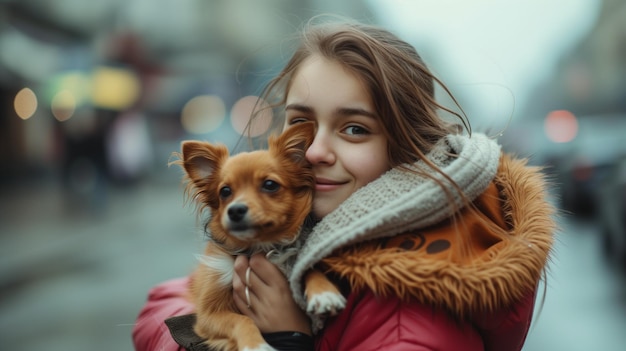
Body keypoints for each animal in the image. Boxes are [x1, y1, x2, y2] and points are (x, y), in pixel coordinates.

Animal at [172, 122, 342, 350]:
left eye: (270, 185)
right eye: (225, 191)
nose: (235, 210)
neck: (260, 245)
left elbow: (305, 268)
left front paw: (325, 292)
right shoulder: (208, 314)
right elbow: (241, 320)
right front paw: (255, 344)